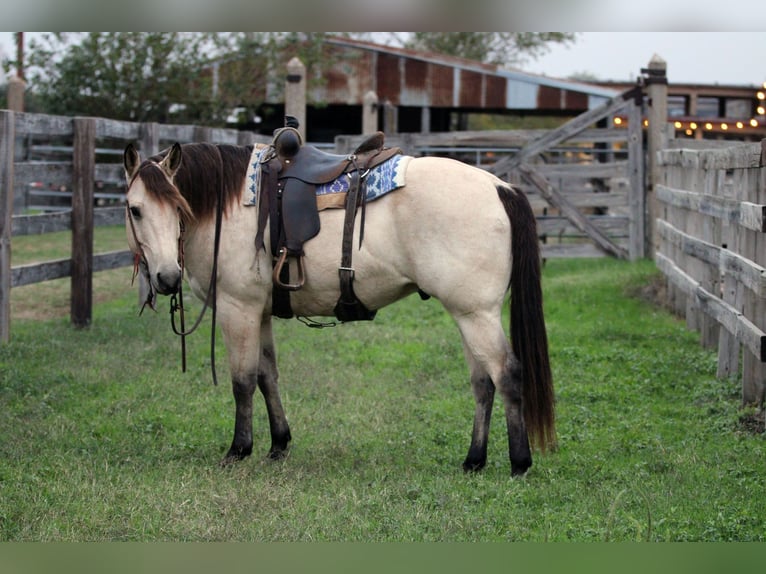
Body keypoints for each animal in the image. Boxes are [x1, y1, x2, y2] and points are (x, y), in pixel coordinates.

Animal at [123, 134, 556, 476]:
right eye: (135, 209)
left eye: (178, 207)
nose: (167, 278)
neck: (228, 205)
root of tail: (500, 187)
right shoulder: (259, 312)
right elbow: (267, 376)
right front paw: (278, 444)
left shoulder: (237, 309)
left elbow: (242, 382)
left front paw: (239, 449)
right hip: (467, 314)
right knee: (483, 383)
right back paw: (474, 460)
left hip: (476, 315)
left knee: (506, 375)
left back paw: (519, 463)